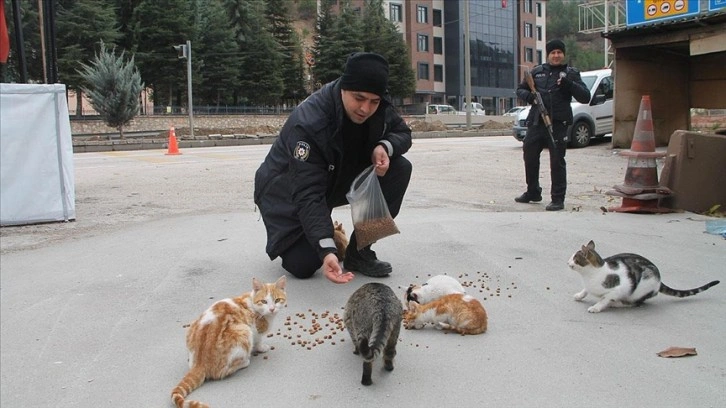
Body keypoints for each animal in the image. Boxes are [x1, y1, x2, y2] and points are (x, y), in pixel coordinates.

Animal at [171, 276, 288, 406]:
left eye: (277, 300)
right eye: (264, 301)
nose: (272, 309)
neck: (252, 301)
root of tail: (200, 363)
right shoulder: (256, 329)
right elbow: (258, 340)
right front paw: (261, 347)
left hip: (192, 329)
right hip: (244, 332)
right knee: (222, 373)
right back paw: (244, 362)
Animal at [568, 241, 724, 314]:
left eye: (575, 259)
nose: (567, 262)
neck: (592, 274)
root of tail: (660, 280)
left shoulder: (620, 288)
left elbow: (605, 298)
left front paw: (597, 307)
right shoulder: (589, 285)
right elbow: (586, 290)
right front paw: (580, 295)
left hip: (640, 290)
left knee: (635, 303)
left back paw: (617, 304)